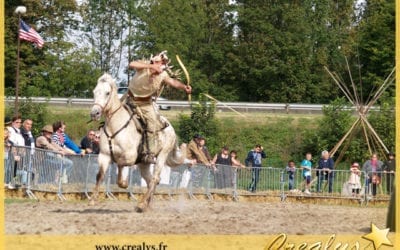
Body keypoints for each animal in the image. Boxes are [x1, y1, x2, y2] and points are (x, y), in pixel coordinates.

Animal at [89, 73, 186, 212]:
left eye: (107, 93)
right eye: (94, 92)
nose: (94, 113)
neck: (115, 125)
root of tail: (171, 128)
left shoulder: (130, 156)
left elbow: (120, 164)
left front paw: (124, 183)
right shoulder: (104, 155)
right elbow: (100, 175)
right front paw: (92, 200)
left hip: (162, 156)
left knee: (155, 178)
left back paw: (141, 204)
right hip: (144, 163)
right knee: (151, 180)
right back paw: (147, 205)